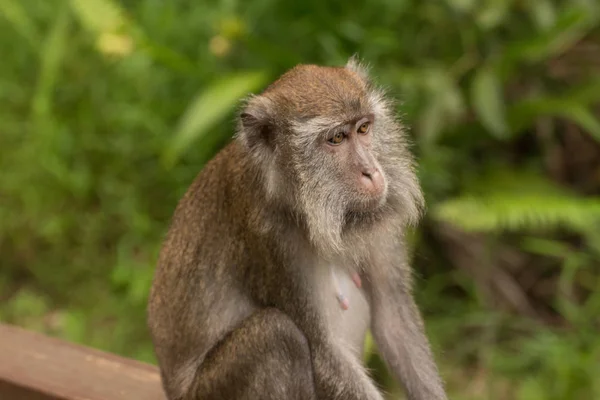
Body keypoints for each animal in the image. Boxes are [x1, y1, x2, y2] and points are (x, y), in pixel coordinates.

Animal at [148, 57, 448, 400]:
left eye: (363, 128)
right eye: (336, 138)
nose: (372, 172)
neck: (299, 204)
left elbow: (393, 317)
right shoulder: (271, 240)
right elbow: (324, 350)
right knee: (276, 336)